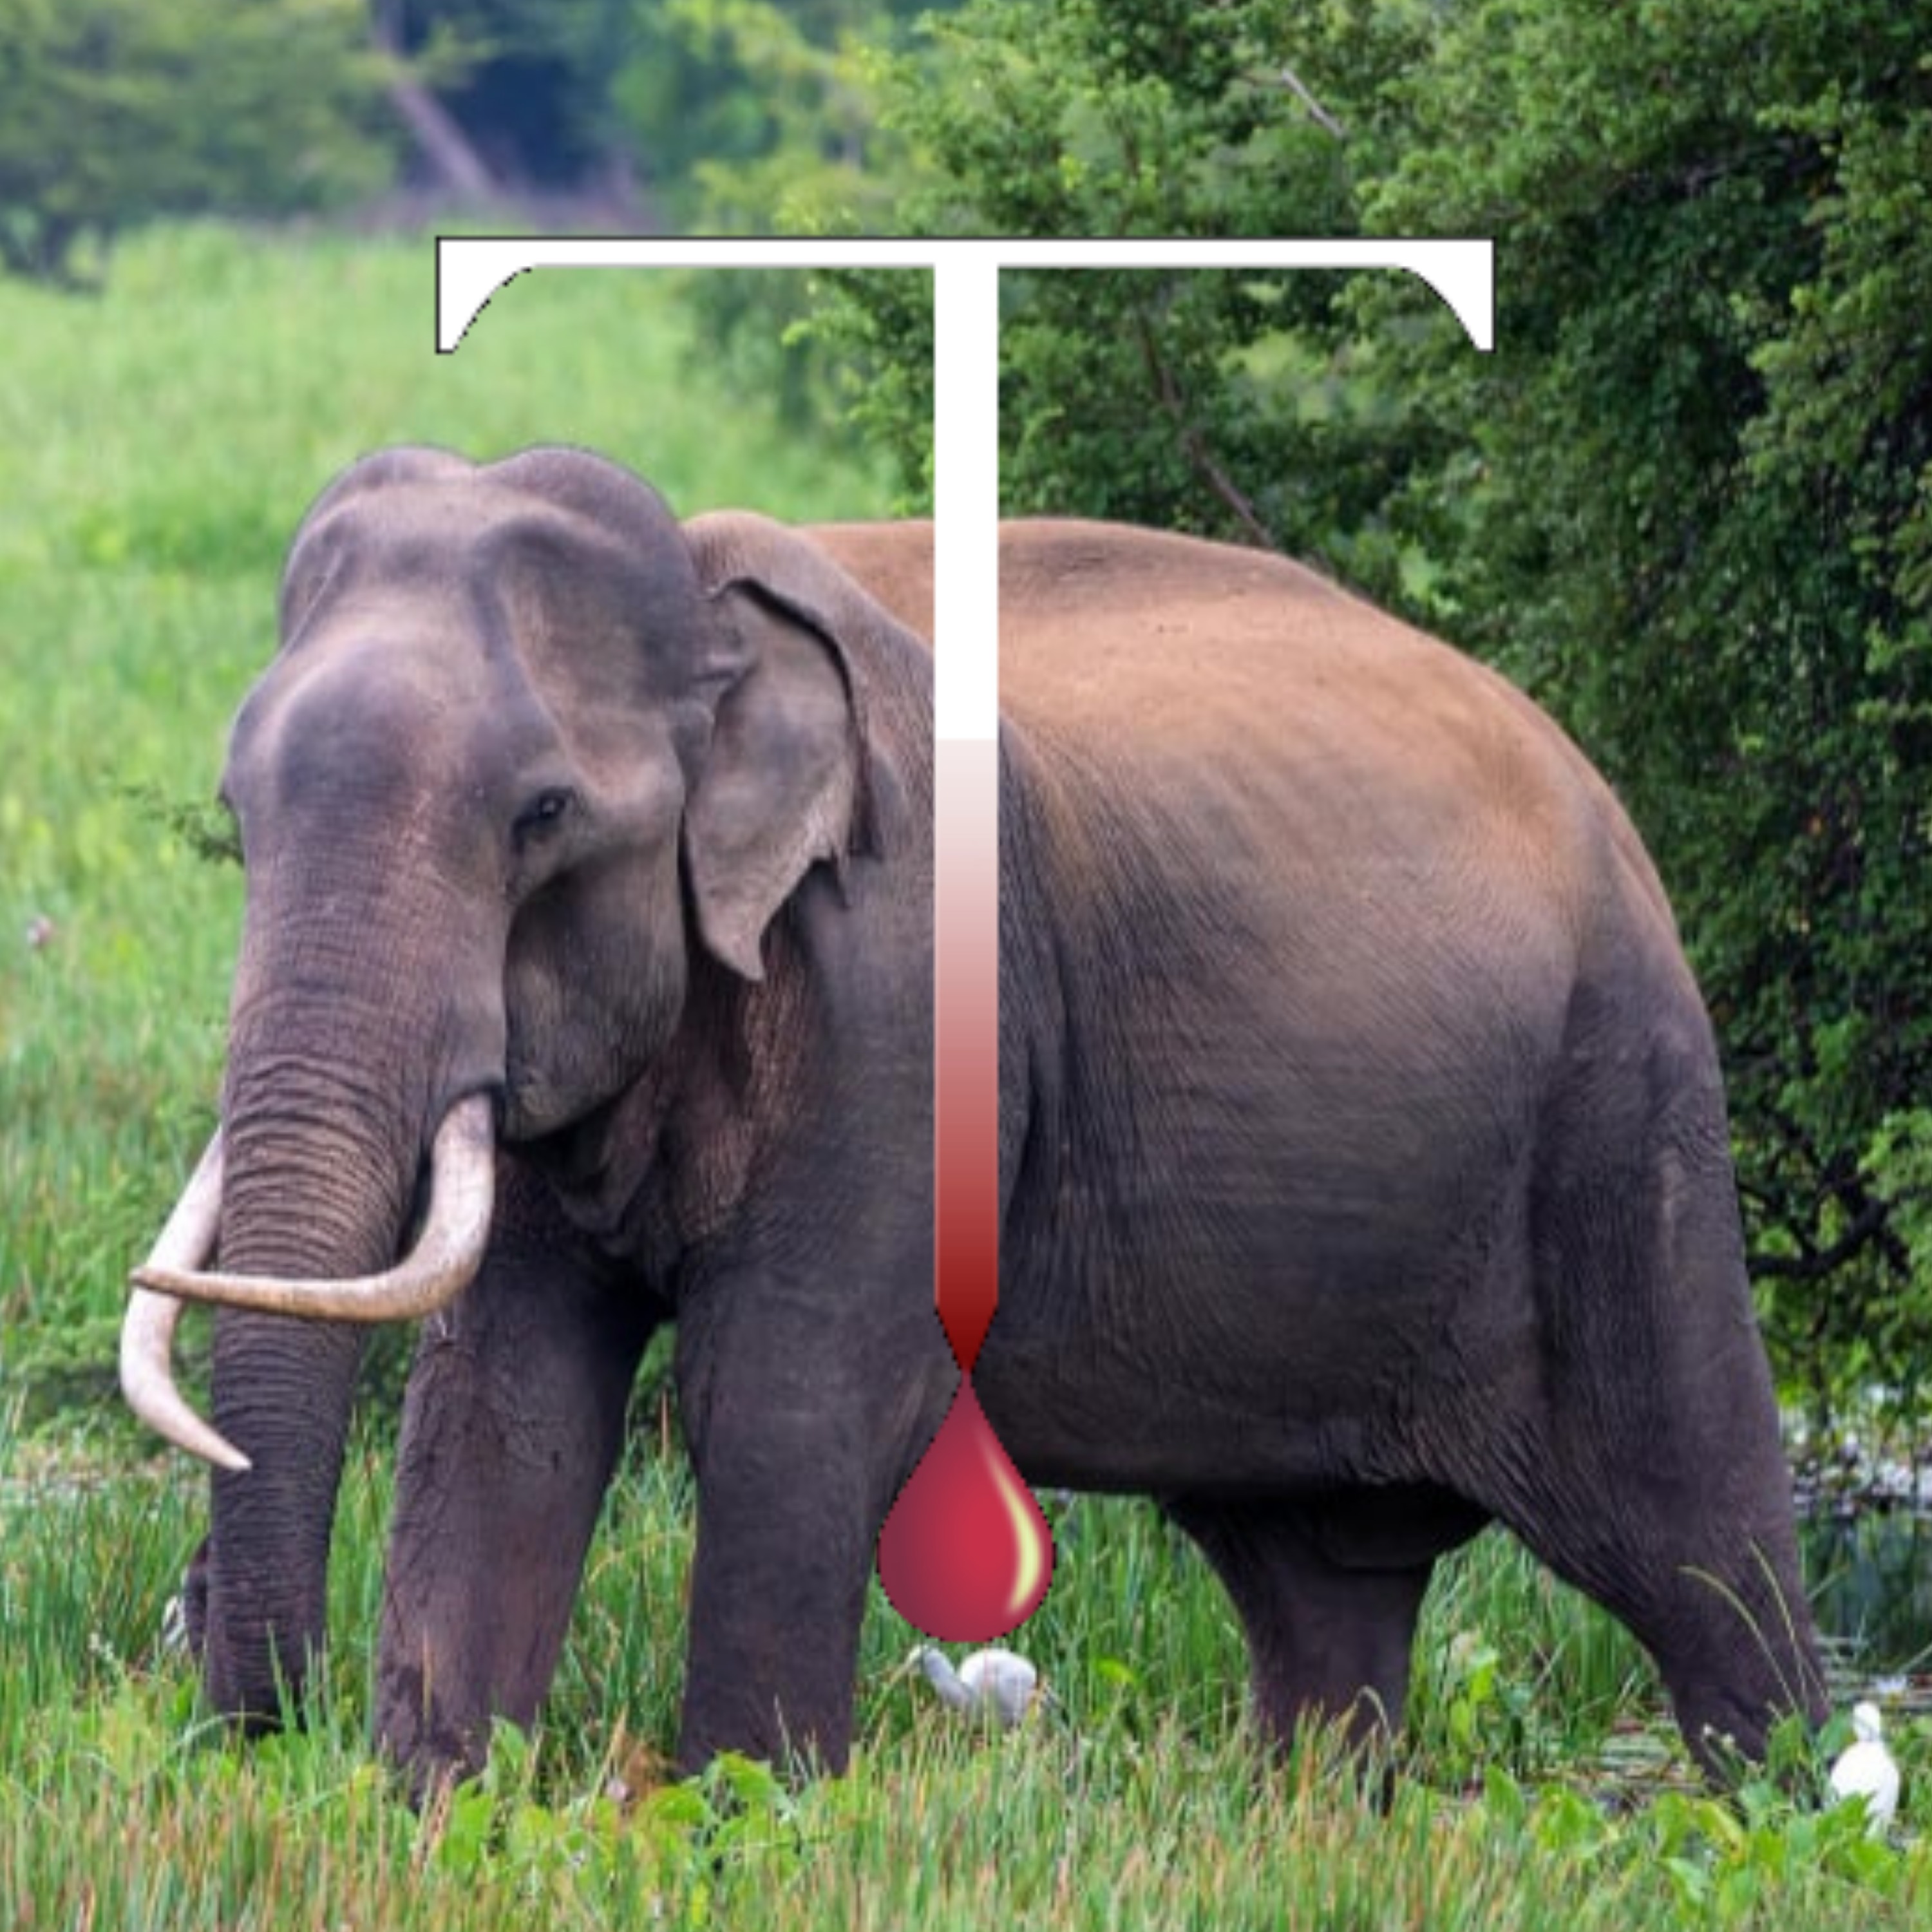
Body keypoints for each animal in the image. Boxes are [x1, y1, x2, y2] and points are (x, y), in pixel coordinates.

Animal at [122, 443, 1826, 1793]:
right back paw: (1316, 1818)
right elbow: (508, 1403)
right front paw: (436, 1809)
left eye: (542, 818)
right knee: (1318, 1588)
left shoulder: (914, 997)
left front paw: (745, 1814)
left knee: (1702, 1540)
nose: (263, 1722)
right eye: (238, 812)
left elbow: (789, 1395)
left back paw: (1784, 1805)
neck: (707, 600)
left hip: (1624, 1111)